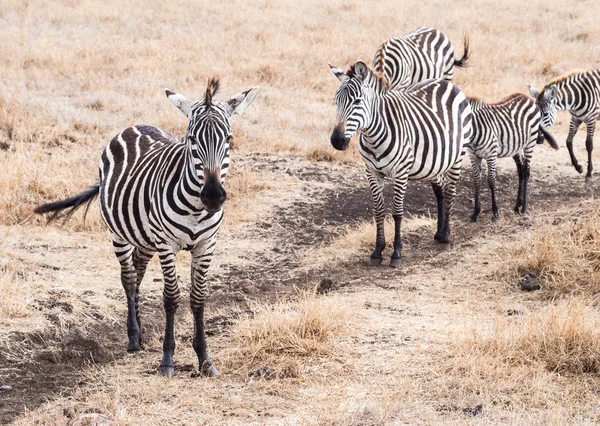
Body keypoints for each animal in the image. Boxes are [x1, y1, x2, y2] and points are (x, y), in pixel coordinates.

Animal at [33, 78, 258, 378]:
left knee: (138, 272)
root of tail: (135, 126)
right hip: (120, 234)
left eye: (229, 139)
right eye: (191, 139)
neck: (196, 209)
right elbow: (171, 297)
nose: (213, 196)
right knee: (128, 278)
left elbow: (198, 298)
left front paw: (205, 359)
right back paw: (132, 337)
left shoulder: (206, 245)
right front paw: (167, 360)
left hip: (145, 237)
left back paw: (140, 334)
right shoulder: (166, 244)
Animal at [328, 60, 474, 266]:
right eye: (336, 101)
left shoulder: (400, 172)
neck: (374, 137)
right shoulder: (371, 172)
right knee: (440, 191)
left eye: (357, 101)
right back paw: (439, 232)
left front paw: (396, 253)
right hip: (435, 161)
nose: (337, 141)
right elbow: (379, 211)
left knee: (450, 192)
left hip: (457, 156)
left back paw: (446, 235)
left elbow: (397, 212)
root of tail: (446, 82)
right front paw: (377, 251)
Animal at [466, 94, 560, 223]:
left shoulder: (491, 155)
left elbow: (491, 181)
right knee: (521, 172)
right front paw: (475, 213)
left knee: (526, 171)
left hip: (529, 143)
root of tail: (527, 98)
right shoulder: (473, 156)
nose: (540, 139)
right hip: (517, 147)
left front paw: (495, 213)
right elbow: (476, 181)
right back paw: (517, 206)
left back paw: (523, 208)